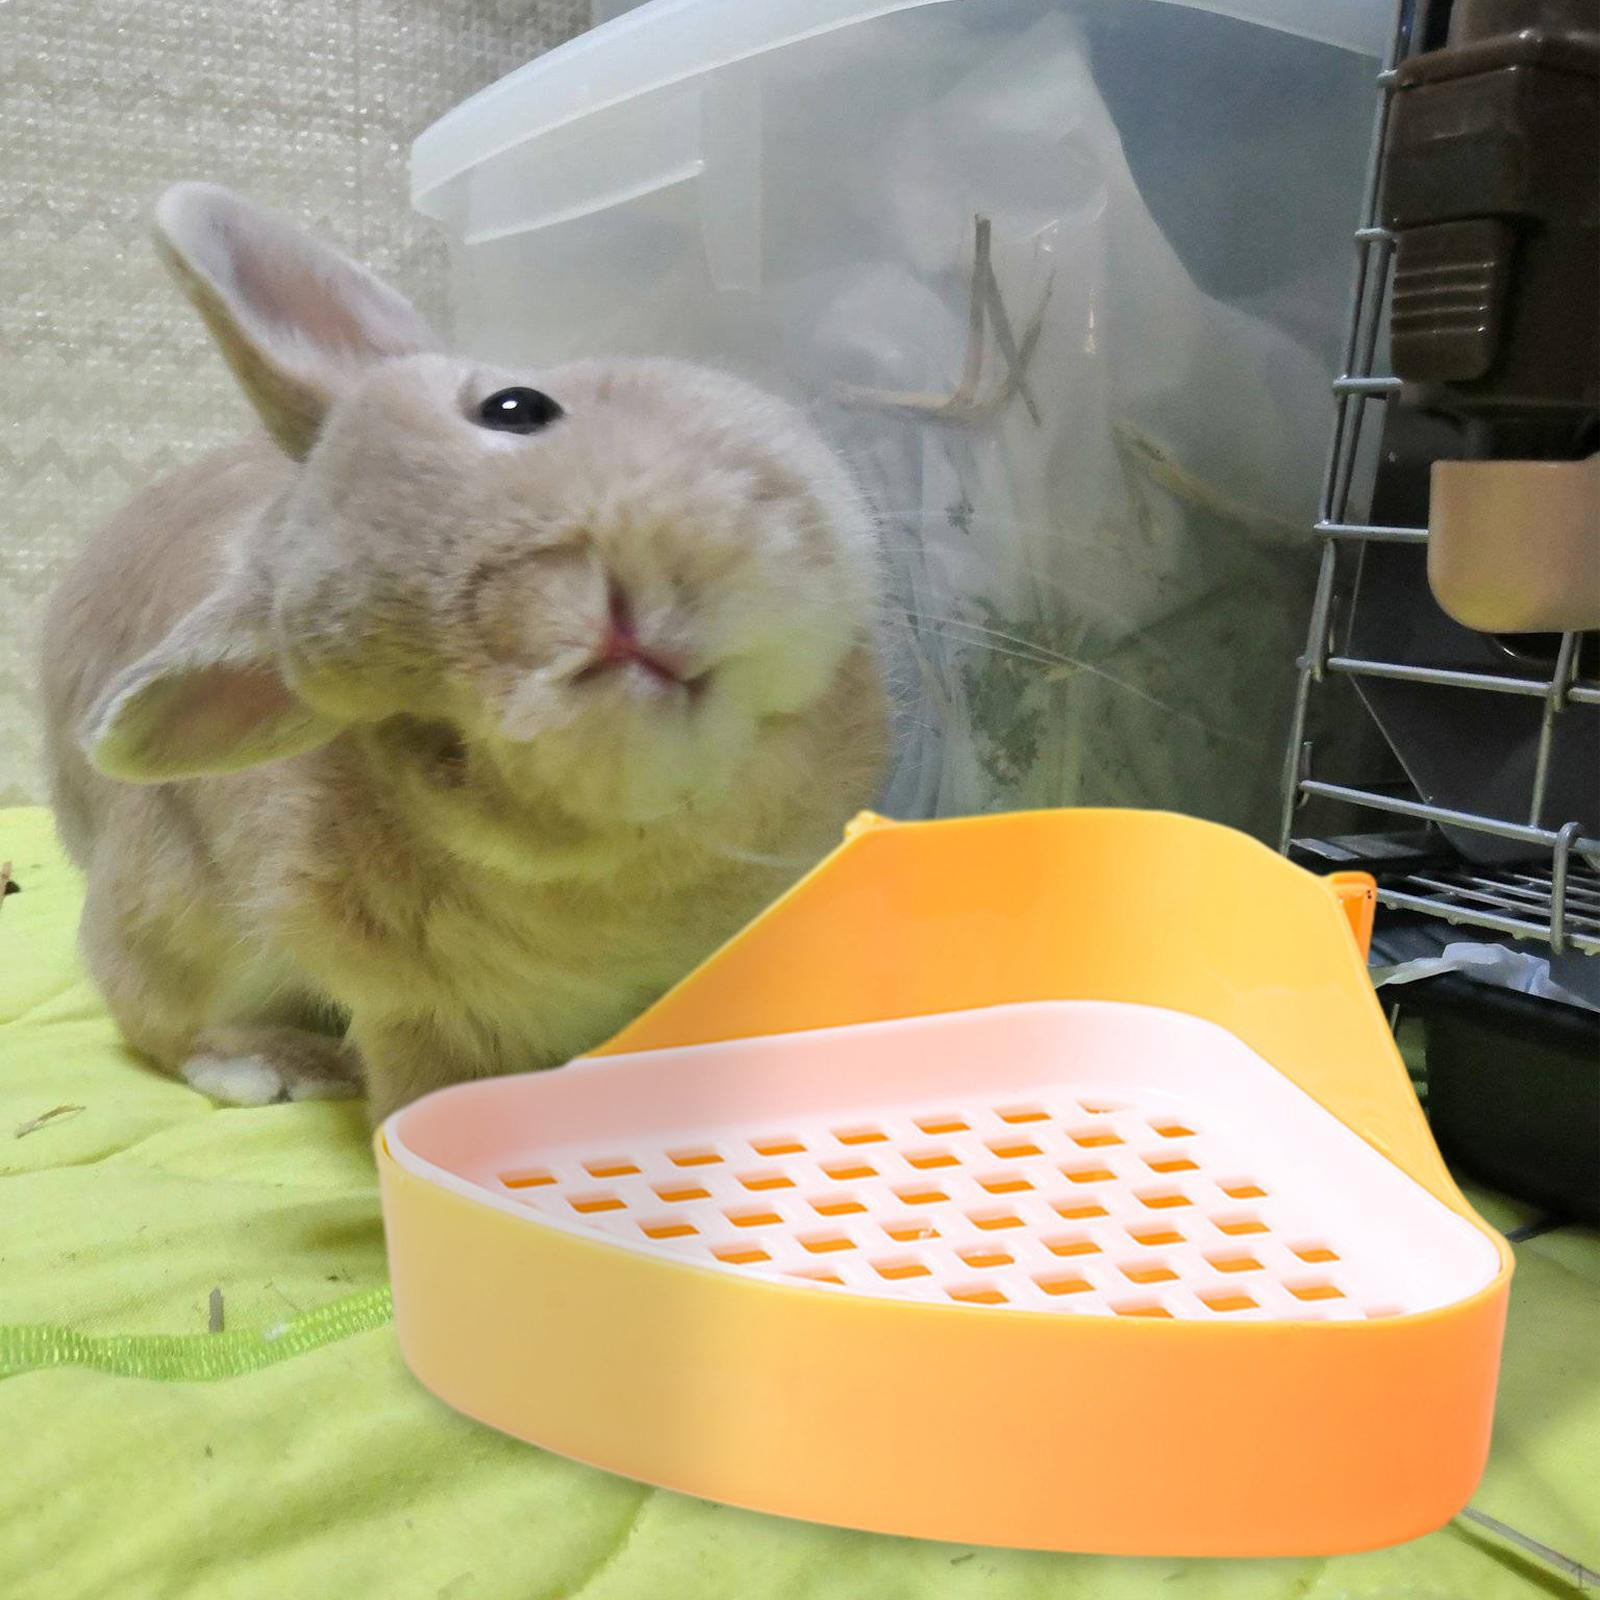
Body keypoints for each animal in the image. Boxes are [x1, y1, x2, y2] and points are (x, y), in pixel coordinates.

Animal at [40, 183, 888, 1125]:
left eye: (517, 406)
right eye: (398, 699)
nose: (576, 621)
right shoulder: (409, 1006)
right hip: (174, 911)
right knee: (147, 1008)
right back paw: (276, 1066)